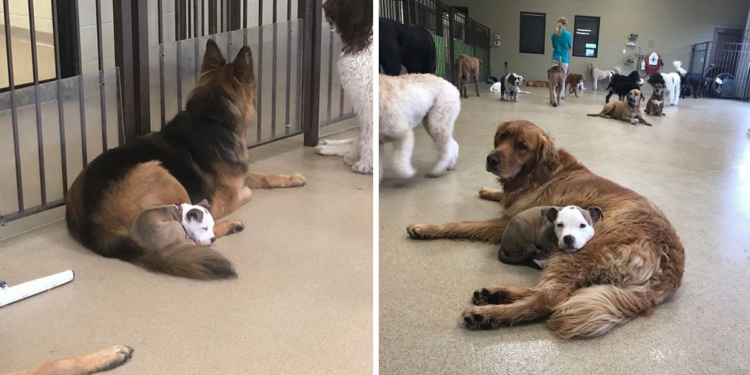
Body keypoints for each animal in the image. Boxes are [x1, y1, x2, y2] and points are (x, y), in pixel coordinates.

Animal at [408, 121, 684, 340]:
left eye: (522, 146)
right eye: (502, 137)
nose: (492, 159)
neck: (540, 172)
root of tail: (671, 268)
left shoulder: (507, 220)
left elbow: (463, 224)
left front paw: (425, 227)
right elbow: (499, 197)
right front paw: (488, 190)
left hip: (576, 251)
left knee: (548, 299)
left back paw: (488, 315)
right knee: (548, 291)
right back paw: (494, 293)